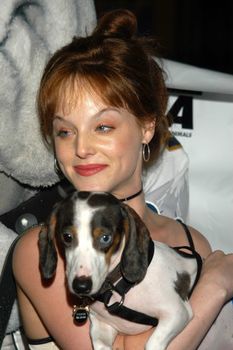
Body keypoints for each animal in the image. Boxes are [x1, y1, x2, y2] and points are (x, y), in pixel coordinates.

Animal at [39, 191, 201, 350]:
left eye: (105, 238)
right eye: (67, 236)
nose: (81, 286)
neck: (116, 285)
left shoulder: (177, 313)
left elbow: (152, 343)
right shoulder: (101, 326)